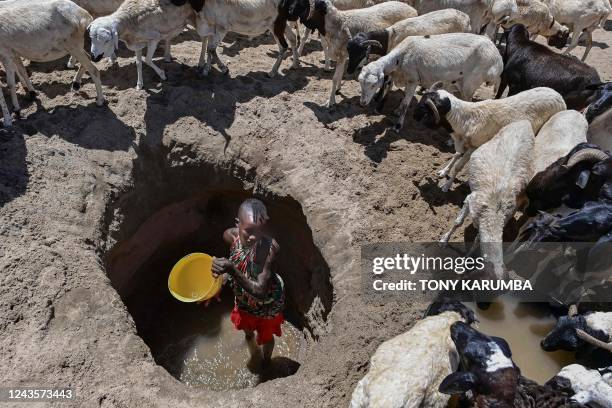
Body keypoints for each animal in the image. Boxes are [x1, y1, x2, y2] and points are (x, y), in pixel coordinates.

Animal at [358, 34, 502, 132]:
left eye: (373, 84)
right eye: (360, 82)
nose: (362, 103)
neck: (401, 57)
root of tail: (498, 59)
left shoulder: (413, 80)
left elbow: (405, 104)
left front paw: (397, 126)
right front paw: (395, 111)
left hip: (470, 84)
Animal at [414, 85, 568, 193]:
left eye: (423, 106)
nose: (414, 118)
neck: (465, 119)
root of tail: (560, 98)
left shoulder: (473, 147)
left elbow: (458, 166)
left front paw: (446, 186)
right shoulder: (461, 143)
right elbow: (456, 155)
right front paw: (444, 171)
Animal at [440, 119, 536, 278]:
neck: (494, 213)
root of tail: (525, 122)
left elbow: (477, 239)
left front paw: (467, 259)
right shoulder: (470, 201)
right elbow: (458, 222)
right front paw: (443, 240)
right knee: (458, 158)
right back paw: (445, 181)